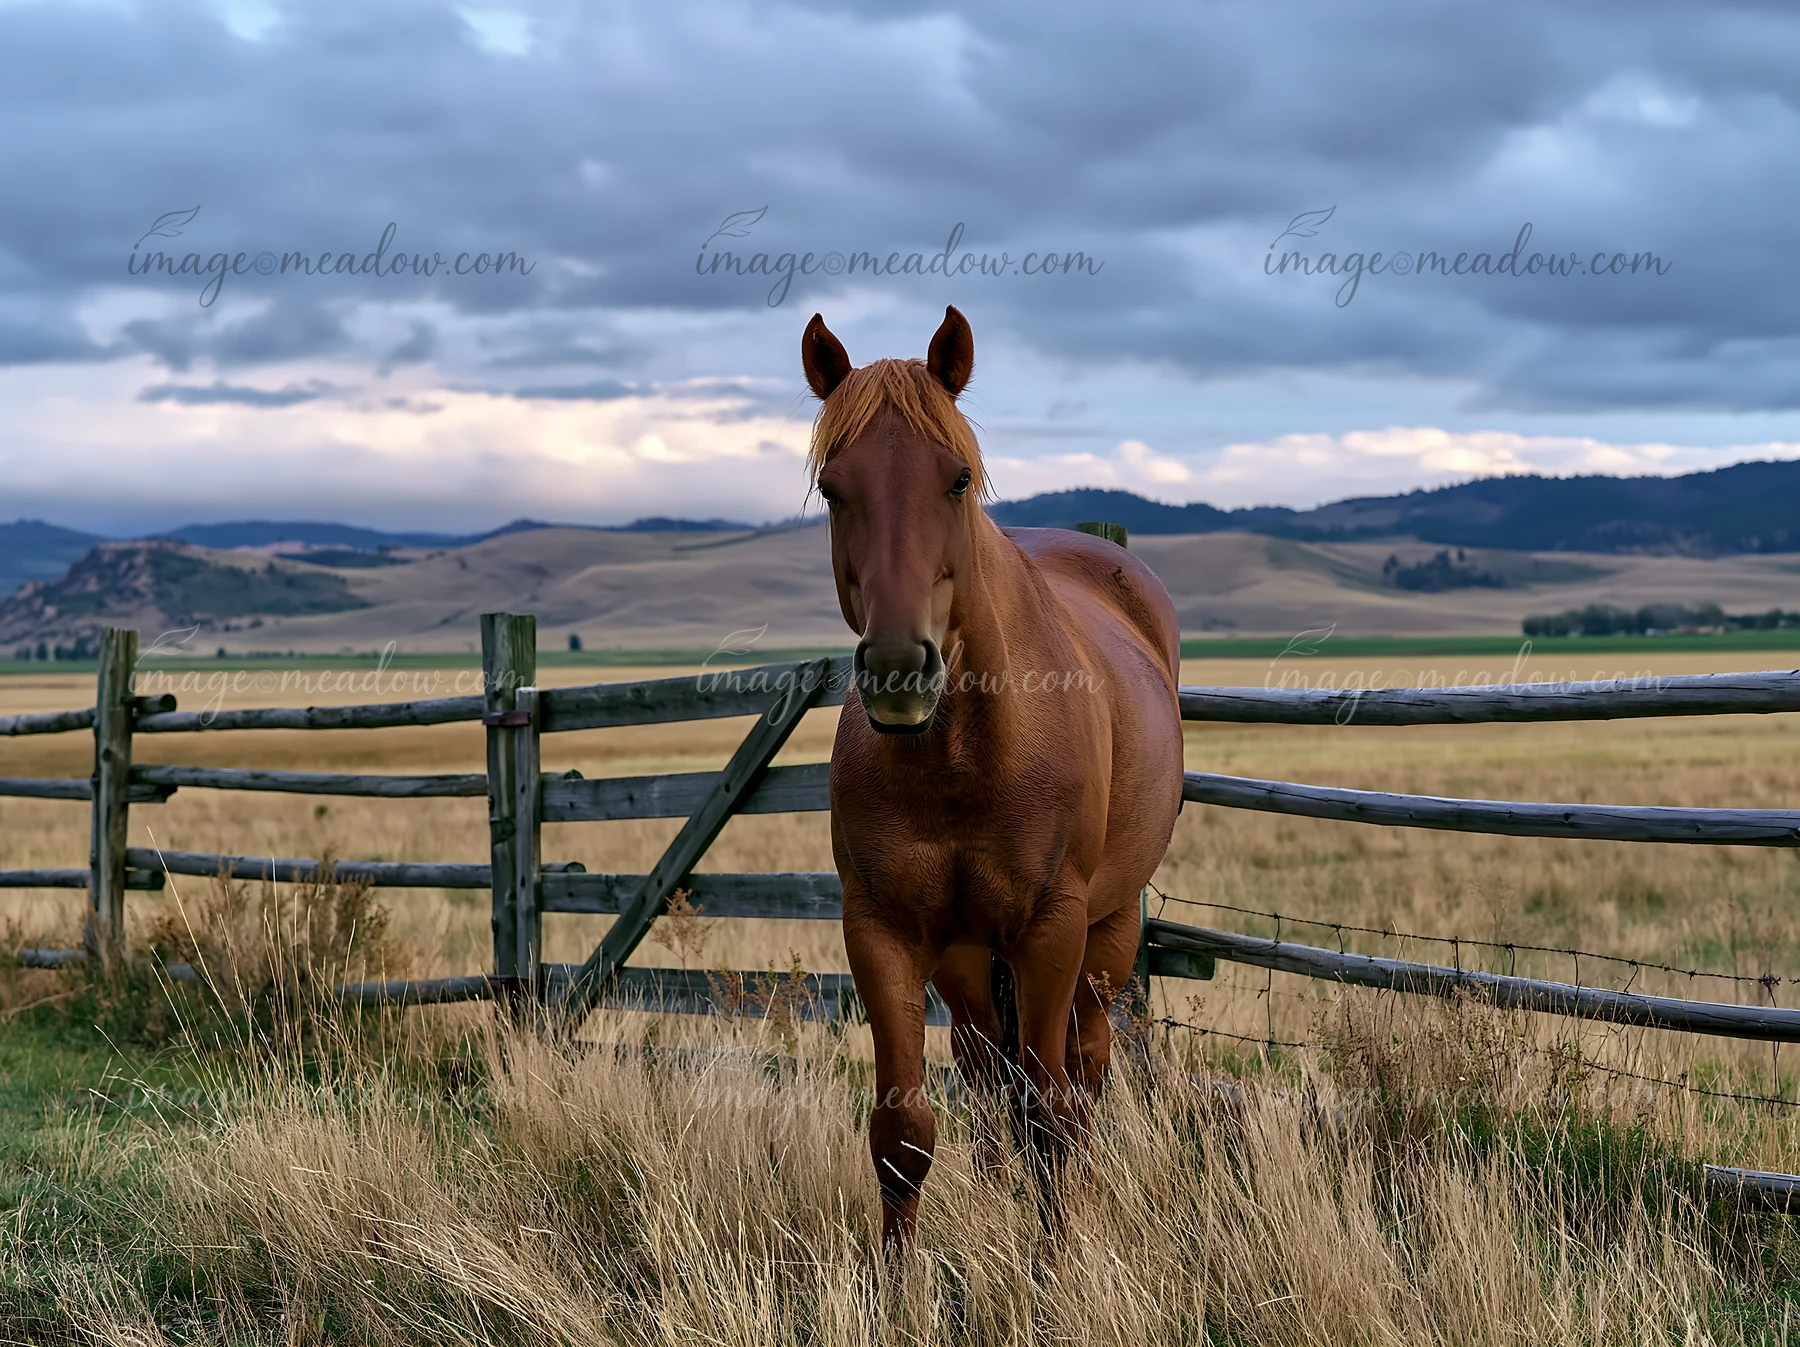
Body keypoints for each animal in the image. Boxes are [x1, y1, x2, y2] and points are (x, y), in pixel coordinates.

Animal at [802, 305, 1185, 1251]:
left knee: (1080, 1078)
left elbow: (1051, 1111)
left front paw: (1057, 1267)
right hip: (967, 959)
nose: (899, 669)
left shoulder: (1053, 929)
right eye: (833, 489)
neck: (962, 763)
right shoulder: (882, 930)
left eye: (958, 477)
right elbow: (902, 1132)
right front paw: (897, 1282)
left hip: (1107, 933)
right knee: (987, 1072)